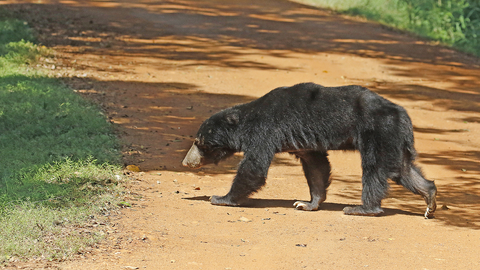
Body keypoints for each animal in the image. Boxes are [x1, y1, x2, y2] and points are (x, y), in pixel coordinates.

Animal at [182, 82, 436, 217]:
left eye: (199, 142)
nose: (186, 162)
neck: (246, 119)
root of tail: (403, 115)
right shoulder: (304, 144)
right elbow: (317, 167)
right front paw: (306, 203)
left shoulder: (266, 130)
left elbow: (254, 167)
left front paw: (220, 198)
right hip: (393, 138)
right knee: (403, 170)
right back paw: (430, 200)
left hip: (378, 132)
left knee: (375, 169)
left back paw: (361, 208)